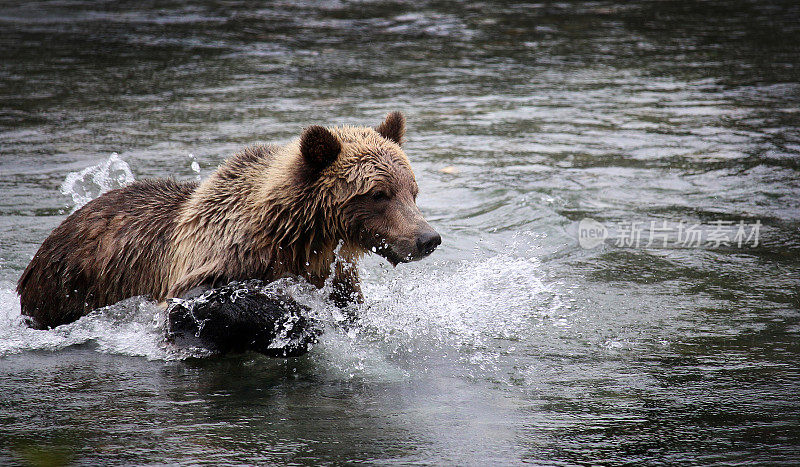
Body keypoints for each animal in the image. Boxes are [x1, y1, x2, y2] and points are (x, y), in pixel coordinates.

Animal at [18, 111, 440, 330]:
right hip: (65, 289)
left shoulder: (336, 275)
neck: (301, 237)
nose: (428, 238)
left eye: (412, 190)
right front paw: (294, 321)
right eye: (379, 194)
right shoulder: (213, 258)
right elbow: (198, 303)